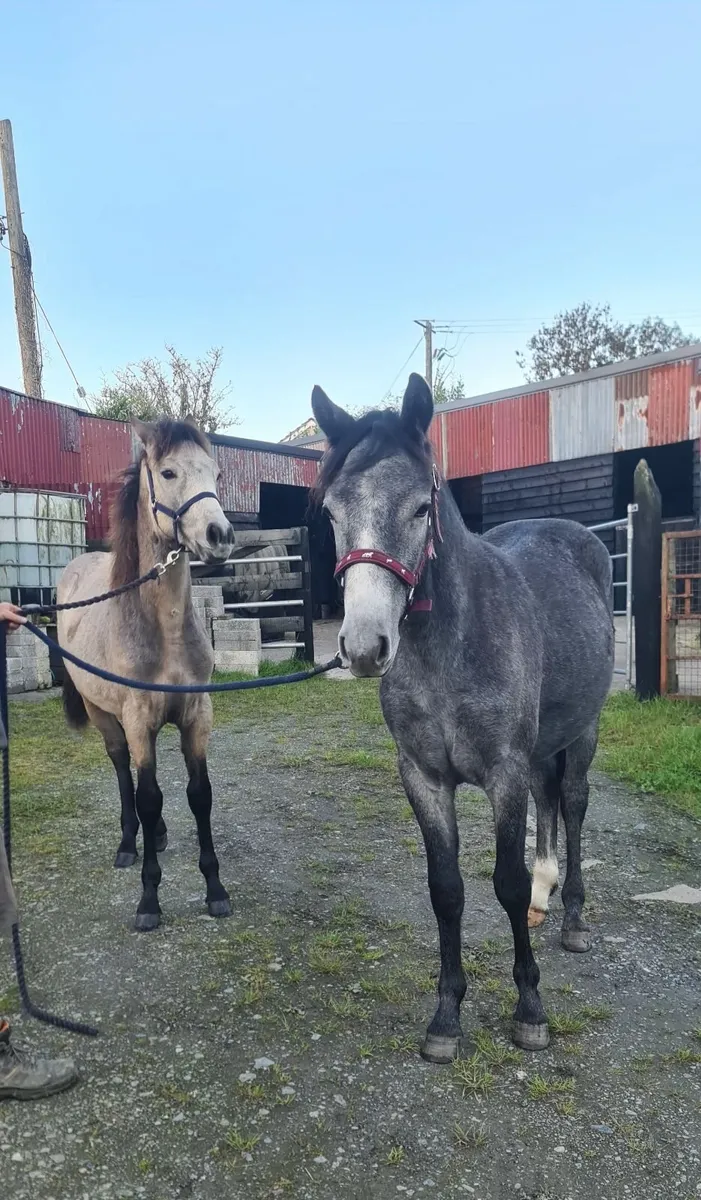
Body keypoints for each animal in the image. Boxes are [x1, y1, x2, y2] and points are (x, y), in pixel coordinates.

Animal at [57, 418, 234, 932]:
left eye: (215, 474)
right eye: (170, 472)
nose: (220, 534)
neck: (165, 632)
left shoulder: (196, 718)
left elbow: (200, 794)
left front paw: (216, 890)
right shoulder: (138, 720)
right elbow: (149, 794)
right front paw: (149, 901)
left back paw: (154, 836)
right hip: (104, 715)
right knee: (123, 773)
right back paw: (128, 844)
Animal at [311, 375, 614, 1063]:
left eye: (420, 509)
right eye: (332, 513)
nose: (363, 647)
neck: (449, 647)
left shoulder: (503, 773)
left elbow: (503, 881)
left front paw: (529, 1008)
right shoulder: (424, 777)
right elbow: (446, 890)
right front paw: (446, 1015)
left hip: (581, 733)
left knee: (573, 804)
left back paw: (573, 917)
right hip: (540, 748)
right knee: (550, 802)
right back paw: (545, 897)